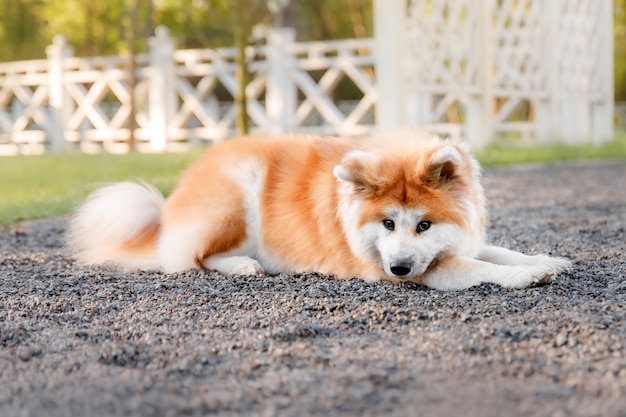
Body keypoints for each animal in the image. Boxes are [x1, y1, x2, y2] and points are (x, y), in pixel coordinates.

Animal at [67, 129, 572, 290]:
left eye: (424, 225)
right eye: (387, 223)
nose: (399, 267)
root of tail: (169, 204)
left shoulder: (457, 242)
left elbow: (498, 251)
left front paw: (548, 260)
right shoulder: (426, 270)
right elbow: (479, 266)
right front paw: (527, 276)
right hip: (235, 199)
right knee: (190, 259)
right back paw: (243, 265)